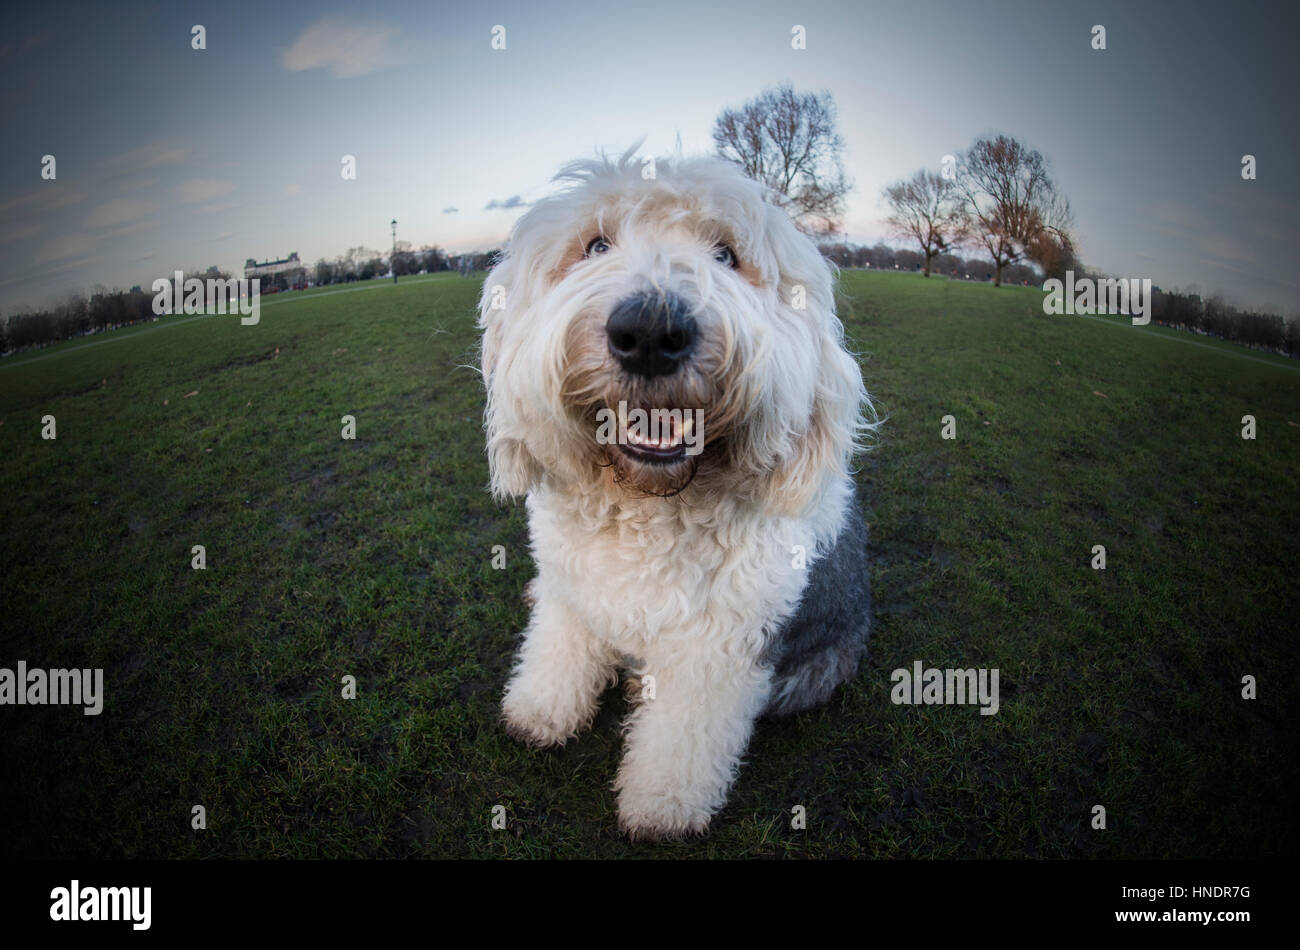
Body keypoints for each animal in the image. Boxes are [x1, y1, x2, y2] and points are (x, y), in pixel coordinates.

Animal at [478, 148, 873, 842]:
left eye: (726, 254)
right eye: (595, 245)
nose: (649, 332)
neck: (648, 508)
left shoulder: (718, 652)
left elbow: (684, 739)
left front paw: (661, 807)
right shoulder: (572, 592)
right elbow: (558, 647)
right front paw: (540, 711)